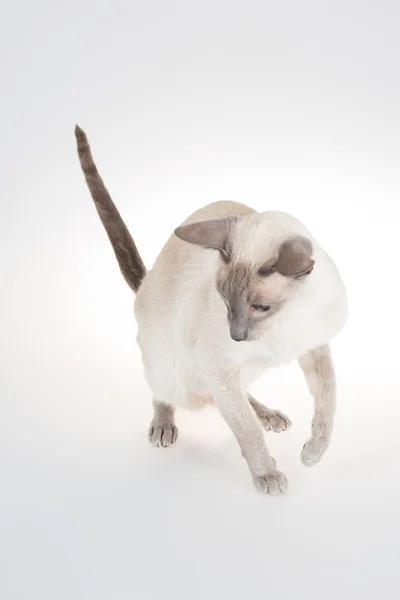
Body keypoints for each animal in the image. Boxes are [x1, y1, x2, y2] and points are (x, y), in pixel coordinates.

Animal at [74, 124, 346, 494]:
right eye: (224, 299)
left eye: (260, 306)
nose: (237, 336)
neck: (286, 320)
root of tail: (144, 285)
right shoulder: (218, 366)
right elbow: (247, 430)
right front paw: (267, 475)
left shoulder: (314, 348)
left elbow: (328, 402)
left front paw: (312, 453)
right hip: (175, 368)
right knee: (169, 393)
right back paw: (164, 425)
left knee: (237, 396)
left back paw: (269, 414)